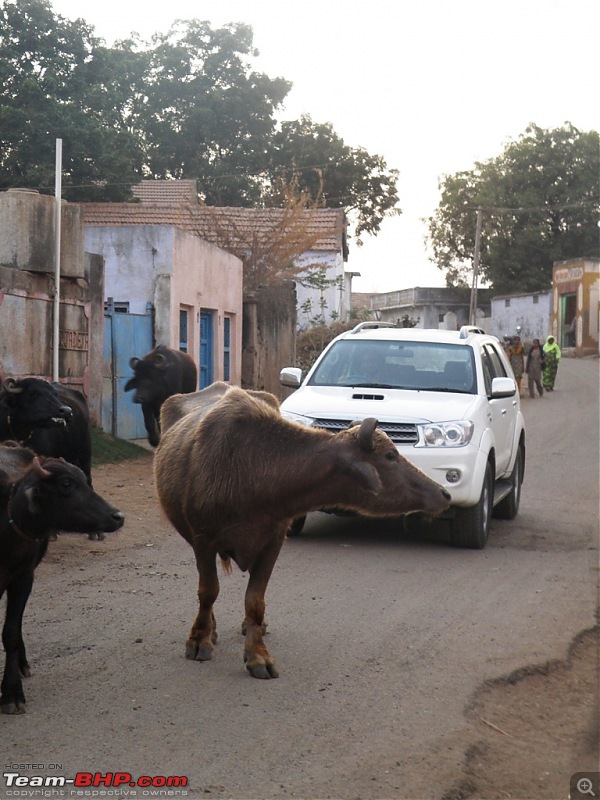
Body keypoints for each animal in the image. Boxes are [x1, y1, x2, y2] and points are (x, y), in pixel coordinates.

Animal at [0, 444, 124, 712]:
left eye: (85, 481)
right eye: (66, 484)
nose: (118, 516)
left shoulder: (23, 577)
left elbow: (11, 632)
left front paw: (11, 693)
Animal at [155, 384, 450, 680]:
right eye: (390, 456)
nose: (444, 493)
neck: (253, 470)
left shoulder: (273, 542)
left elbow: (255, 601)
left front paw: (258, 655)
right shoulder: (203, 539)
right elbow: (208, 591)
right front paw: (200, 639)